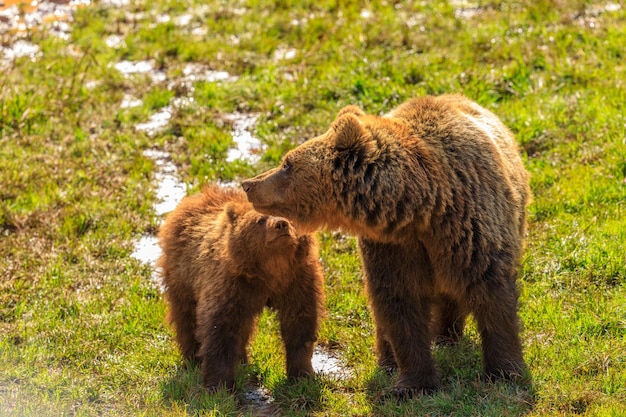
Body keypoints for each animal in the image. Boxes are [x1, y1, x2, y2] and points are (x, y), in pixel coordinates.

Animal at [156, 184, 324, 390]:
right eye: (260, 220)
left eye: (287, 215)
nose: (281, 224)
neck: (272, 269)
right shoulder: (233, 285)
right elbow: (220, 327)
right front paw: (220, 384)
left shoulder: (297, 280)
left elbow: (299, 323)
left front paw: (302, 375)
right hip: (182, 275)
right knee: (186, 316)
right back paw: (193, 358)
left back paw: (241, 359)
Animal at [241, 94, 528, 396]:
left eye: (287, 163)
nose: (248, 184)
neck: (421, 208)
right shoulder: (392, 247)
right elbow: (399, 305)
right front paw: (411, 383)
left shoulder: (470, 227)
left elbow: (492, 294)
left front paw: (504, 371)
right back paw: (390, 359)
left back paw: (447, 335)